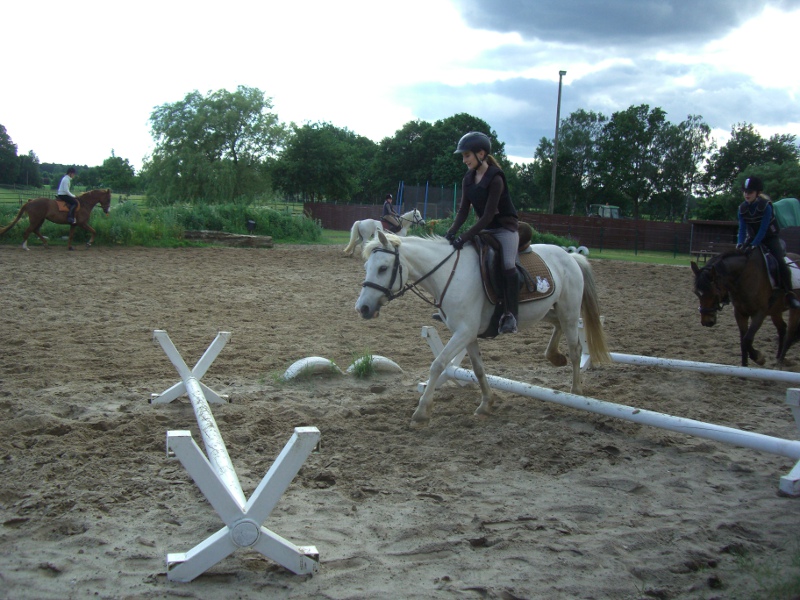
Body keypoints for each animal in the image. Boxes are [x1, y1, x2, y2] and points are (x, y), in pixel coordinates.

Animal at [354, 231, 612, 425]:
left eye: (383, 268)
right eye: (367, 266)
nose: (363, 308)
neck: (448, 275)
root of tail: (570, 257)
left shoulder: (464, 332)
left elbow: (438, 365)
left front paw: (421, 412)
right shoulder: (467, 334)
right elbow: (478, 369)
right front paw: (486, 403)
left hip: (569, 312)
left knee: (576, 348)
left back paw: (576, 391)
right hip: (548, 311)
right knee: (557, 327)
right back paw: (554, 356)